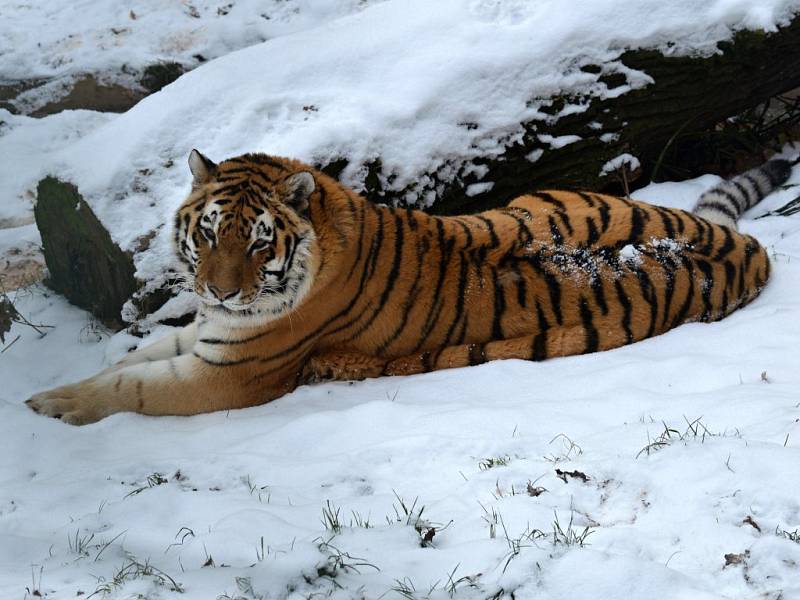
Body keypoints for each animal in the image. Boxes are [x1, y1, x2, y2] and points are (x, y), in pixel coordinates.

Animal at [28, 150, 792, 424]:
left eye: (259, 243)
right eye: (211, 234)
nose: (218, 292)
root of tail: (744, 246)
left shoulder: (231, 375)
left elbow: (134, 386)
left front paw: (53, 403)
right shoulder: (209, 335)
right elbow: (136, 358)